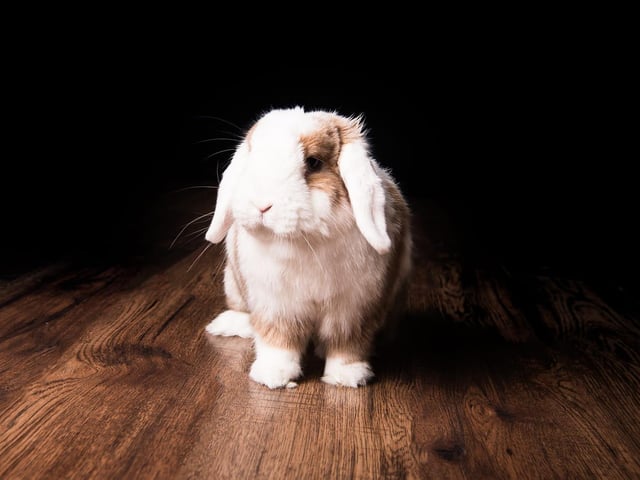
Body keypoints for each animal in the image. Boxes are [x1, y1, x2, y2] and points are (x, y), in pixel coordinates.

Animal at [204, 106, 412, 388]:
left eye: (313, 162)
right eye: (252, 157)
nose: (261, 205)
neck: (304, 240)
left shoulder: (354, 309)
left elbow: (347, 344)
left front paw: (347, 377)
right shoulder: (276, 305)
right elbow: (278, 341)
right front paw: (273, 376)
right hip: (234, 285)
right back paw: (230, 324)